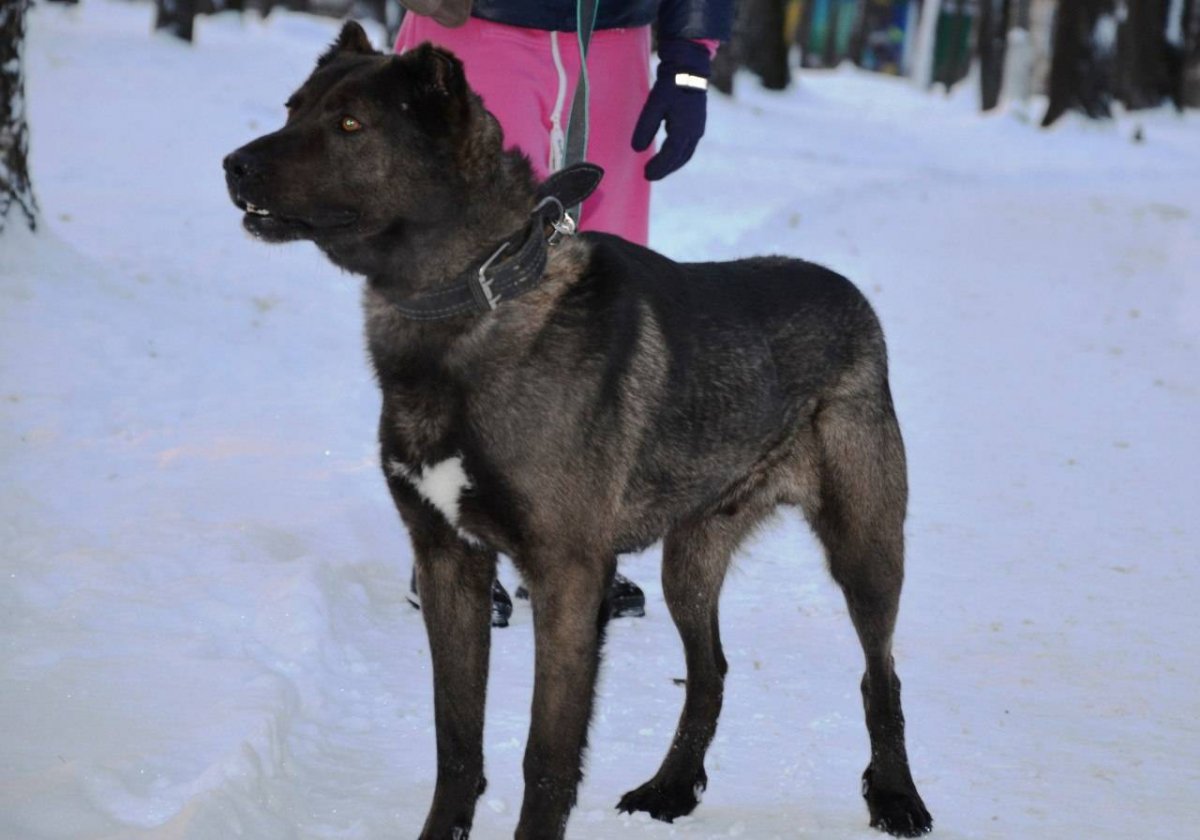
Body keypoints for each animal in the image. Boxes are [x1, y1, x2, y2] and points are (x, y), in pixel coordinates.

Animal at [226, 21, 936, 840]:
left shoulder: (565, 579)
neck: (474, 297)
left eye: (349, 126)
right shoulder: (449, 564)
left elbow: (547, 754)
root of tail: (850, 294)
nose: (232, 165)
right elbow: (456, 740)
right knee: (711, 672)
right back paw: (672, 787)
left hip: (866, 550)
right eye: (294, 107)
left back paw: (897, 795)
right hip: (690, 561)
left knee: (881, 673)